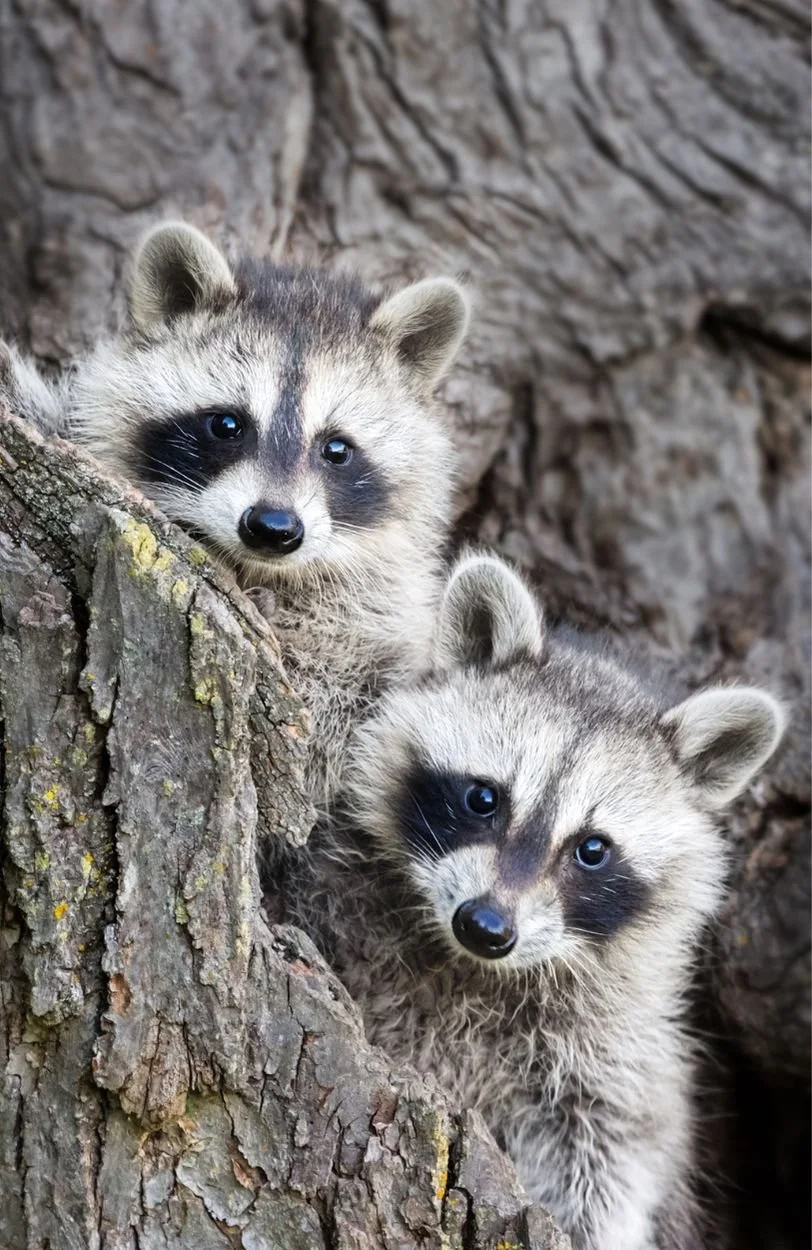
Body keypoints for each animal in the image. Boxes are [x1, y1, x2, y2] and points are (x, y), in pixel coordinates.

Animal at [0, 224, 469, 809]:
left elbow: (336, 706)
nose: (273, 528)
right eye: (226, 424)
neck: (256, 566)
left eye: (337, 449)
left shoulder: (380, 623)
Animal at [287, 552, 786, 1250]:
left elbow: (610, 1154)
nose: (486, 925)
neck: (475, 972)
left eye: (593, 849)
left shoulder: (615, 1049)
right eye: (483, 798)